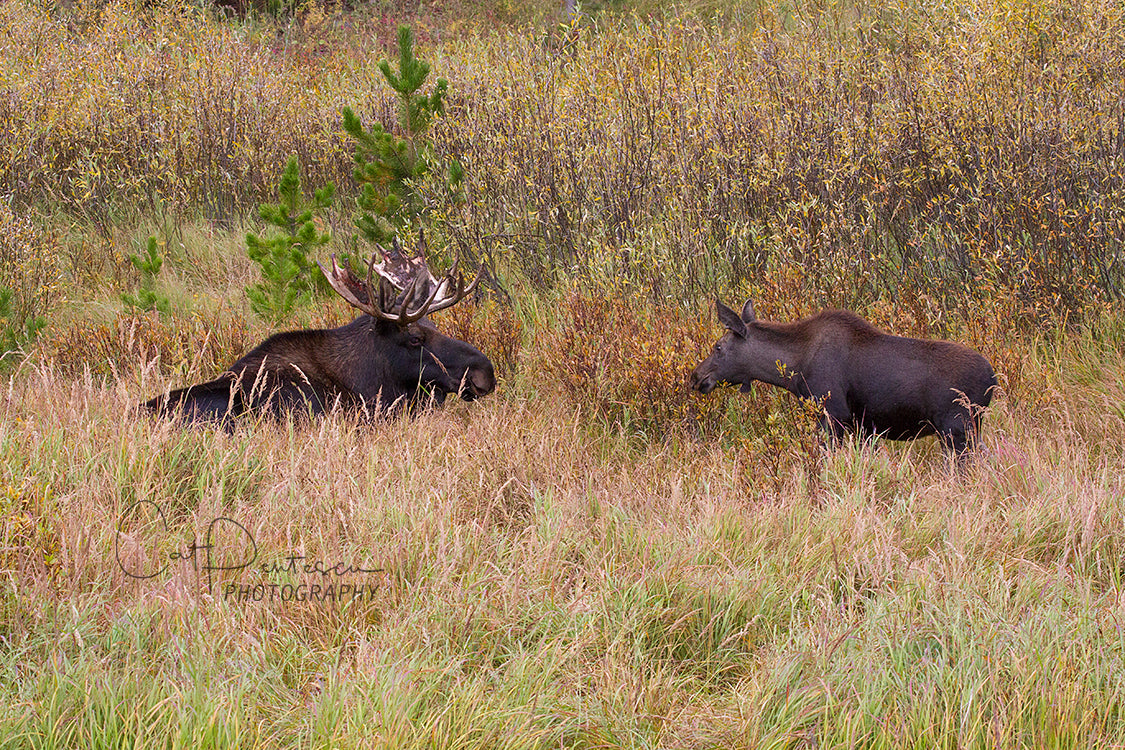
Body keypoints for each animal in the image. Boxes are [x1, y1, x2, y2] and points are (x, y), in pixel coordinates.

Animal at [688, 301, 999, 454]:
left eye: (718, 347)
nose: (696, 377)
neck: (794, 368)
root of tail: (993, 380)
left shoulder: (833, 415)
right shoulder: (861, 428)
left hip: (956, 428)